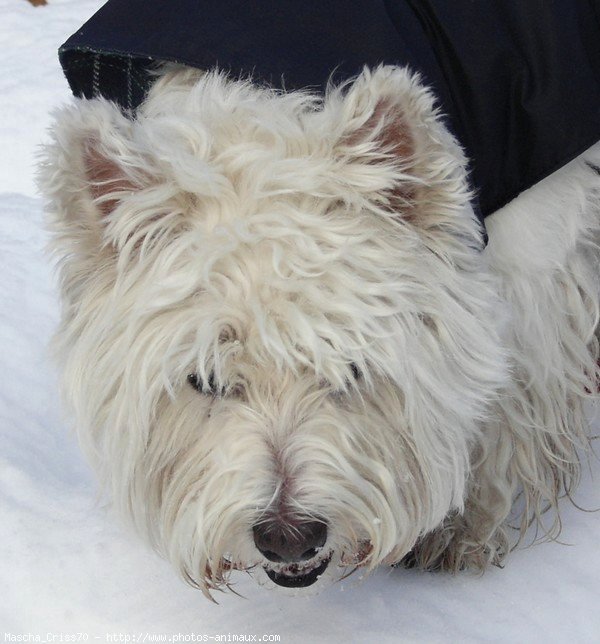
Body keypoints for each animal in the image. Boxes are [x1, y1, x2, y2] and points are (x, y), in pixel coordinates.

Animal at [41, 63, 600, 596]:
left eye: (350, 368)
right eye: (205, 381)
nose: (289, 539)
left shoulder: (531, 250)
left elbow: (511, 401)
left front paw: (460, 529)